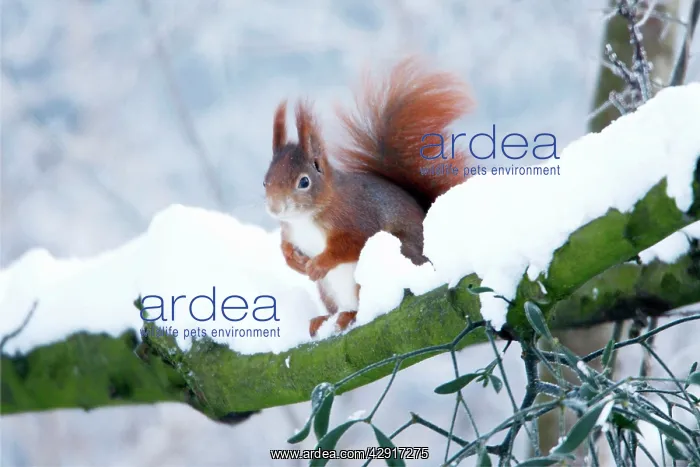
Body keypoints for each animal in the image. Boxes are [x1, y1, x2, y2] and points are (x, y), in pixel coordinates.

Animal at [263, 57, 474, 337]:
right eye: (265, 181)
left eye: (304, 182)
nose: (275, 208)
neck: (306, 218)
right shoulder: (291, 231)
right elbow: (286, 247)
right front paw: (293, 261)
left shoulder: (356, 217)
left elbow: (351, 243)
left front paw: (318, 264)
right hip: (328, 291)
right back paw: (325, 319)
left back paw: (350, 316)